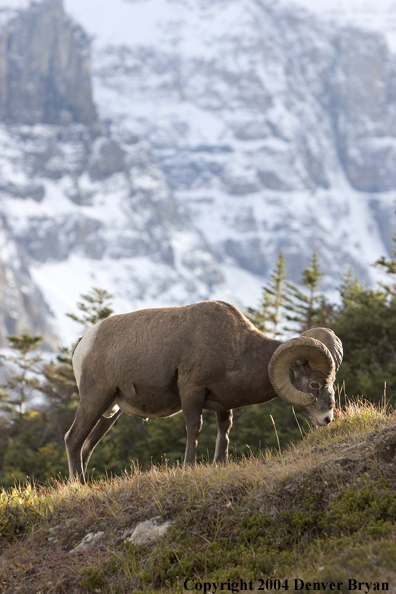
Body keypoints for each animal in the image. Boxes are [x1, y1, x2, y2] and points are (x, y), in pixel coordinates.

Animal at [64, 300, 340, 480]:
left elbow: (224, 430)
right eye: (314, 384)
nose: (327, 419)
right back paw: (79, 485)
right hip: (95, 399)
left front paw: (220, 463)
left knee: (87, 446)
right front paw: (189, 467)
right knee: (73, 439)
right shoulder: (192, 392)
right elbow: (194, 429)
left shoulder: (223, 404)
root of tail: (83, 344)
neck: (237, 350)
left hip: (111, 411)